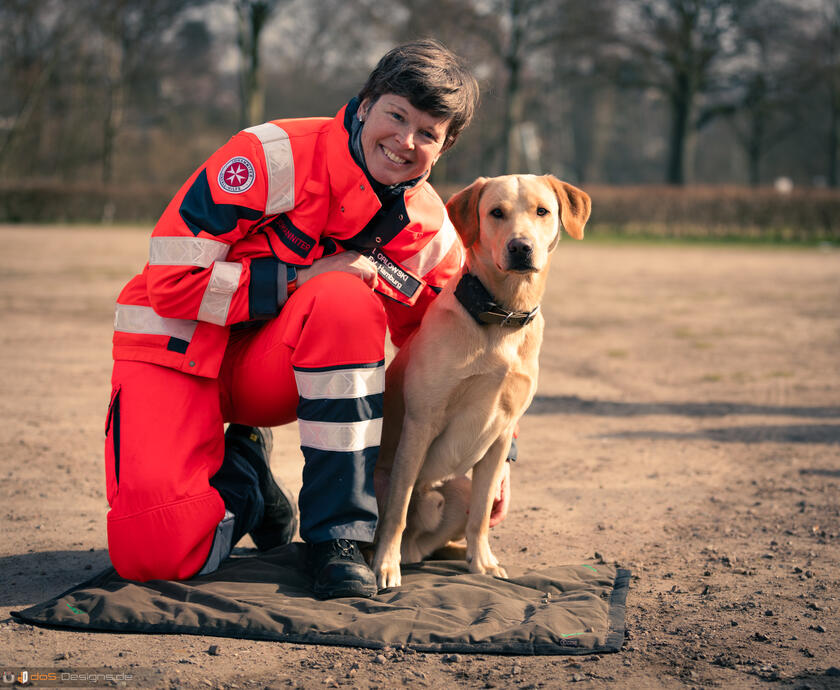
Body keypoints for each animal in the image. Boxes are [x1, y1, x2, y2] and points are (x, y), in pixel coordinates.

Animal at [374, 173, 592, 584]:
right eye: (496, 213)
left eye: (542, 211)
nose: (521, 247)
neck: (502, 317)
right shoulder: (421, 423)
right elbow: (397, 508)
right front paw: (384, 566)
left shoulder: (502, 433)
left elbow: (481, 512)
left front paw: (483, 563)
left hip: (458, 485)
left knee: (439, 540)